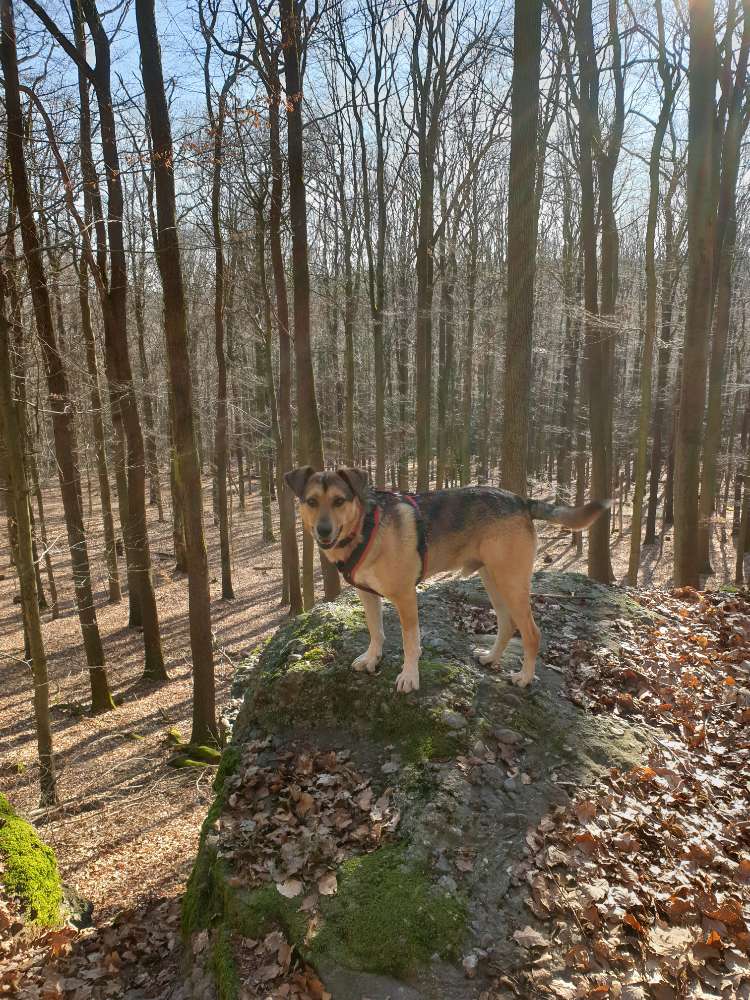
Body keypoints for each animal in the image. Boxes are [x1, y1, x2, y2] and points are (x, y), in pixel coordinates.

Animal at [284, 468, 612, 696]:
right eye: (311, 501)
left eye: (339, 501)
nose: (323, 531)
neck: (363, 527)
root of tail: (520, 499)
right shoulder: (368, 594)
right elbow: (376, 632)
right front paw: (372, 659)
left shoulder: (405, 597)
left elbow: (410, 643)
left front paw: (409, 676)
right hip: (492, 580)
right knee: (507, 624)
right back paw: (491, 658)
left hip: (511, 582)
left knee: (532, 633)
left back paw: (524, 678)